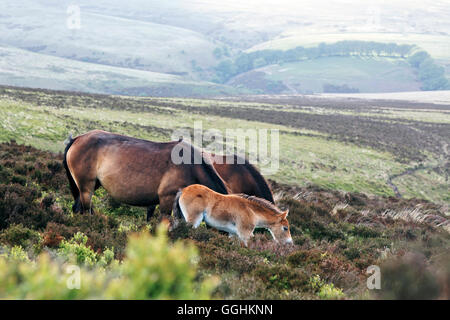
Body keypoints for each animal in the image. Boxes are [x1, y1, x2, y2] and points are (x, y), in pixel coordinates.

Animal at [62, 129, 229, 215]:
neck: (191, 167)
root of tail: (77, 139)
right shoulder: (167, 200)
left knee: (77, 208)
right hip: (86, 187)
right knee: (85, 210)